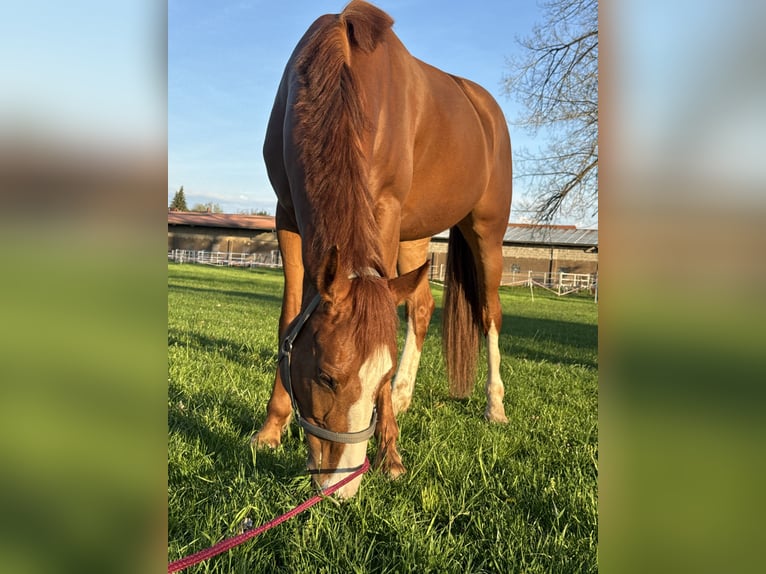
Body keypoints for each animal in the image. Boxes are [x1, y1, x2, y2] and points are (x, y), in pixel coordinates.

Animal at [252, 0, 512, 498]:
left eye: (381, 377)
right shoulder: (287, 216)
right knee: (423, 307)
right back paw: (410, 396)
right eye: (326, 376)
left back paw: (495, 406)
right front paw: (271, 430)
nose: (343, 485)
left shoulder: (384, 210)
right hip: (415, 238)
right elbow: (289, 317)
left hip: (486, 234)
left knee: (491, 313)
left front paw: (391, 455)